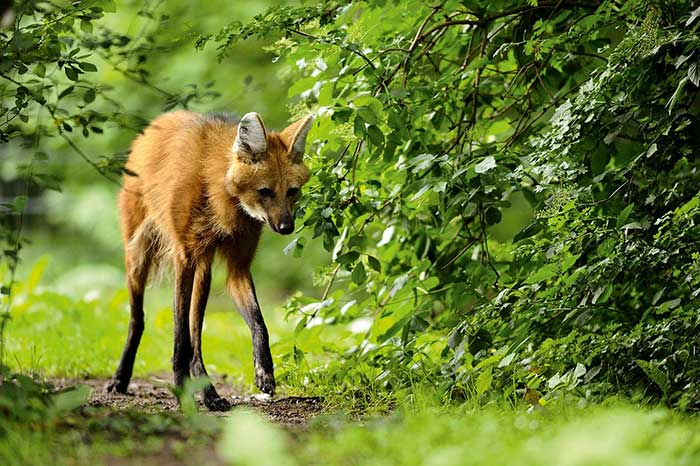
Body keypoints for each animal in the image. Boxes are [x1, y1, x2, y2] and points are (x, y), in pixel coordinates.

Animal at [106, 111, 312, 410]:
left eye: (292, 191)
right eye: (265, 191)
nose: (286, 227)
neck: (220, 196)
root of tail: (157, 122)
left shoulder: (237, 267)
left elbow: (259, 323)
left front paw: (264, 373)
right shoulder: (184, 257)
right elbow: (179, 337)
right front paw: (181, 393)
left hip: (203, 270)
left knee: (196, 334)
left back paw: (210, 393)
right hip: (138, 256)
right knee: (138, 319)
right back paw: (120, 379)